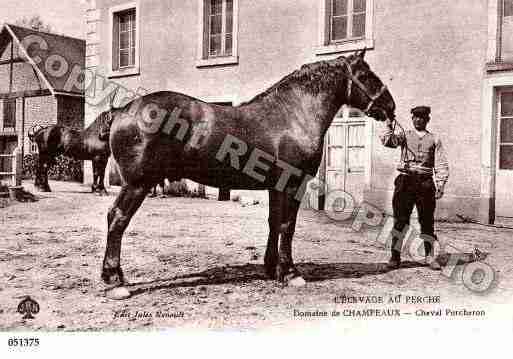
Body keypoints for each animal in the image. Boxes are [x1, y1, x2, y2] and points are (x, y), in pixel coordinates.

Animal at [101, 51, 396, 292]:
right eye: (365, 75)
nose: (390, 107)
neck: (292, 115)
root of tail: (123, 111)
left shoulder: (276, 186)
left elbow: (274, 223)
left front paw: (272, 268)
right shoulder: (293, 184)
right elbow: (288, 226)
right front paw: (291, 273)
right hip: (137, 184)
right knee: (118, 218)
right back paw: (115, 280)